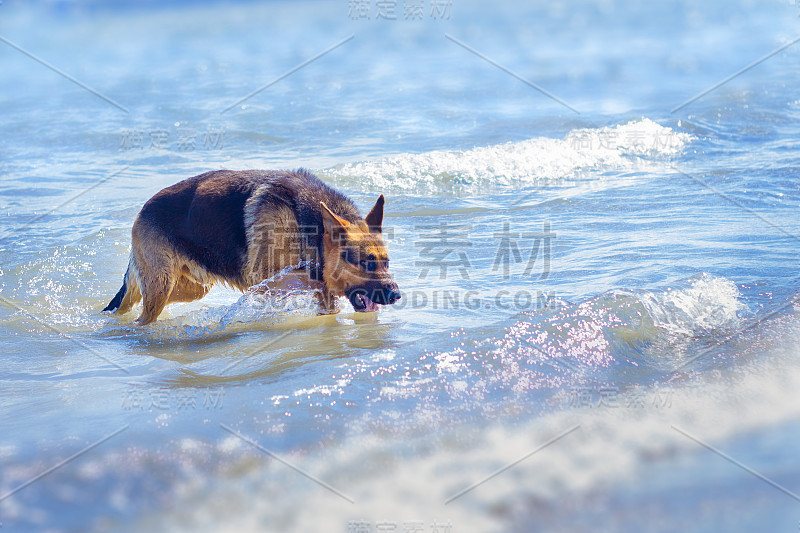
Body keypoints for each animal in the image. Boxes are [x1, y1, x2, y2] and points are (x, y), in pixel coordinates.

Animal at [102, 168, 400, 322]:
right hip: (162, 286)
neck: (307, 226)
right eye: (366, 263)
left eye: (386, 263)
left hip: (190, 289)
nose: (397, 295)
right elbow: (310, 281)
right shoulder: (267, 279)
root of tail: (143, 210)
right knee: (141, 313)